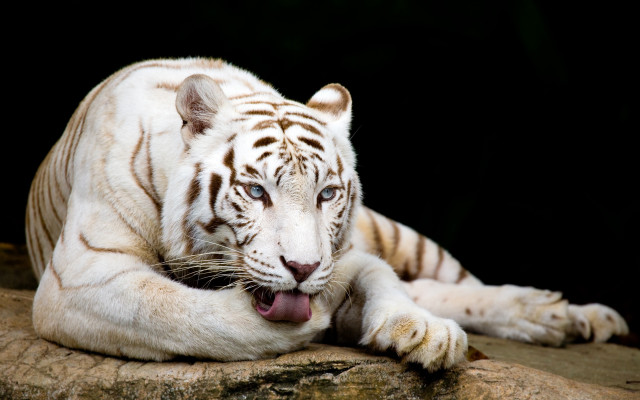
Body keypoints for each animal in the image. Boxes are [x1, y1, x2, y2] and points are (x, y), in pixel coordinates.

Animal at [25, 58, 628, 372]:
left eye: (327, 195)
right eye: (256, 191)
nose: (303, 269)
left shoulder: (350, 254)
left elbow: (383, 280)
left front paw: (425, 332)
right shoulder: (81, 276)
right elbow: (177, 312)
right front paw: (313, 322)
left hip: (397, 234)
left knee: (453, 283)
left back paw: (567, 315)